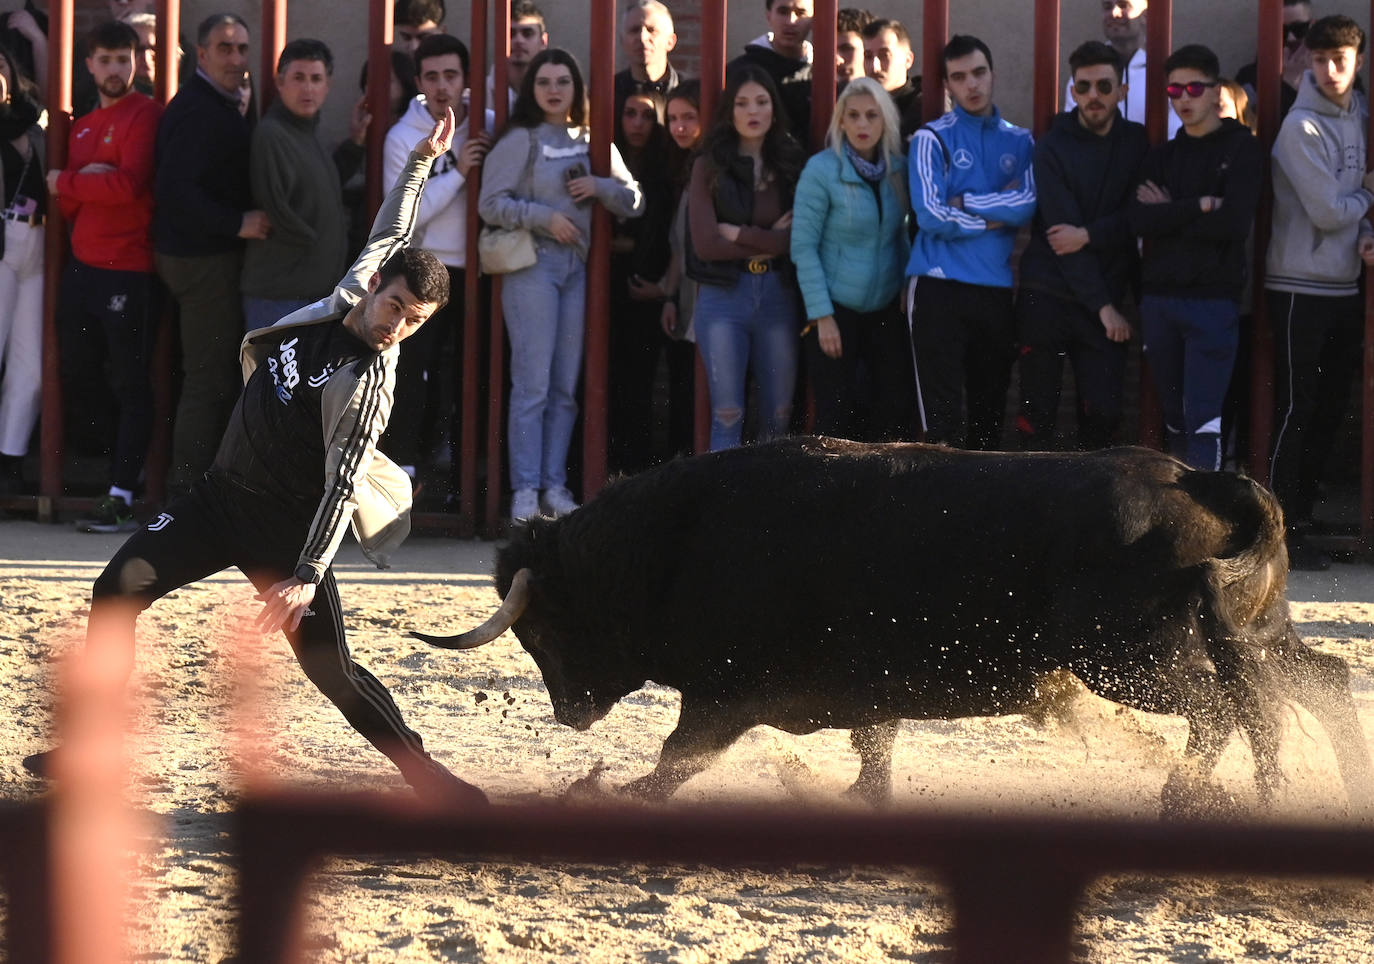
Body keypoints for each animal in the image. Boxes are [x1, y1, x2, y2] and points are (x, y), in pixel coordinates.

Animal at [417, 439, 1374, 812]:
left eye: (543, 630)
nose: (570, 714)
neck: (674, 543)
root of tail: (1197, 478)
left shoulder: (725, 697)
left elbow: (675, 760)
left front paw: (606, 791)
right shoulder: (859, 692)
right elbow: (874, 748)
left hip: (1132, 659)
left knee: (1231, 711)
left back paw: (1204, 797)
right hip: (1253, 635)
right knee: (1315, 686)